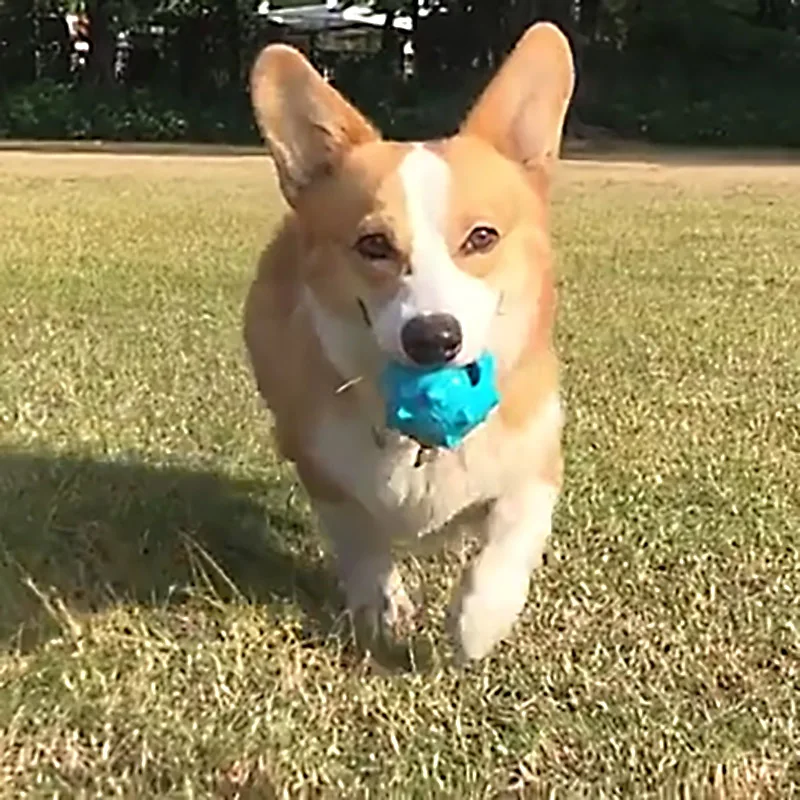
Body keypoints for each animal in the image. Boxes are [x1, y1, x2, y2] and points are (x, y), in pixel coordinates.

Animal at [244, 26, 576, 664]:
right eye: (373, 244)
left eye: (482, 237)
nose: (433, 339)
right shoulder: (321, 468)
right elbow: (361, 540)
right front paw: (382, 606)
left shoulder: (538, 462)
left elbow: (509, 536)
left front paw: (478, 621)